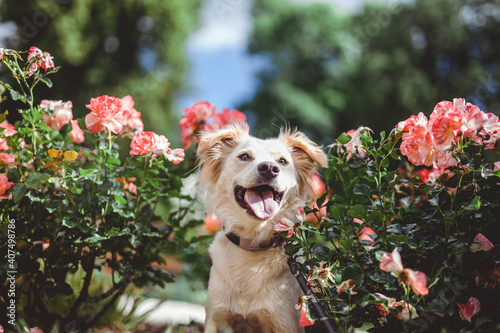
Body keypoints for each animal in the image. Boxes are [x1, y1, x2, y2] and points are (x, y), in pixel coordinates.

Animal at [197, 123, 330, 330]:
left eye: (282, 161)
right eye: (244, 156)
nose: (269, 168)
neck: (252, 244)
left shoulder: (286, 323)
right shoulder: (216, 318)